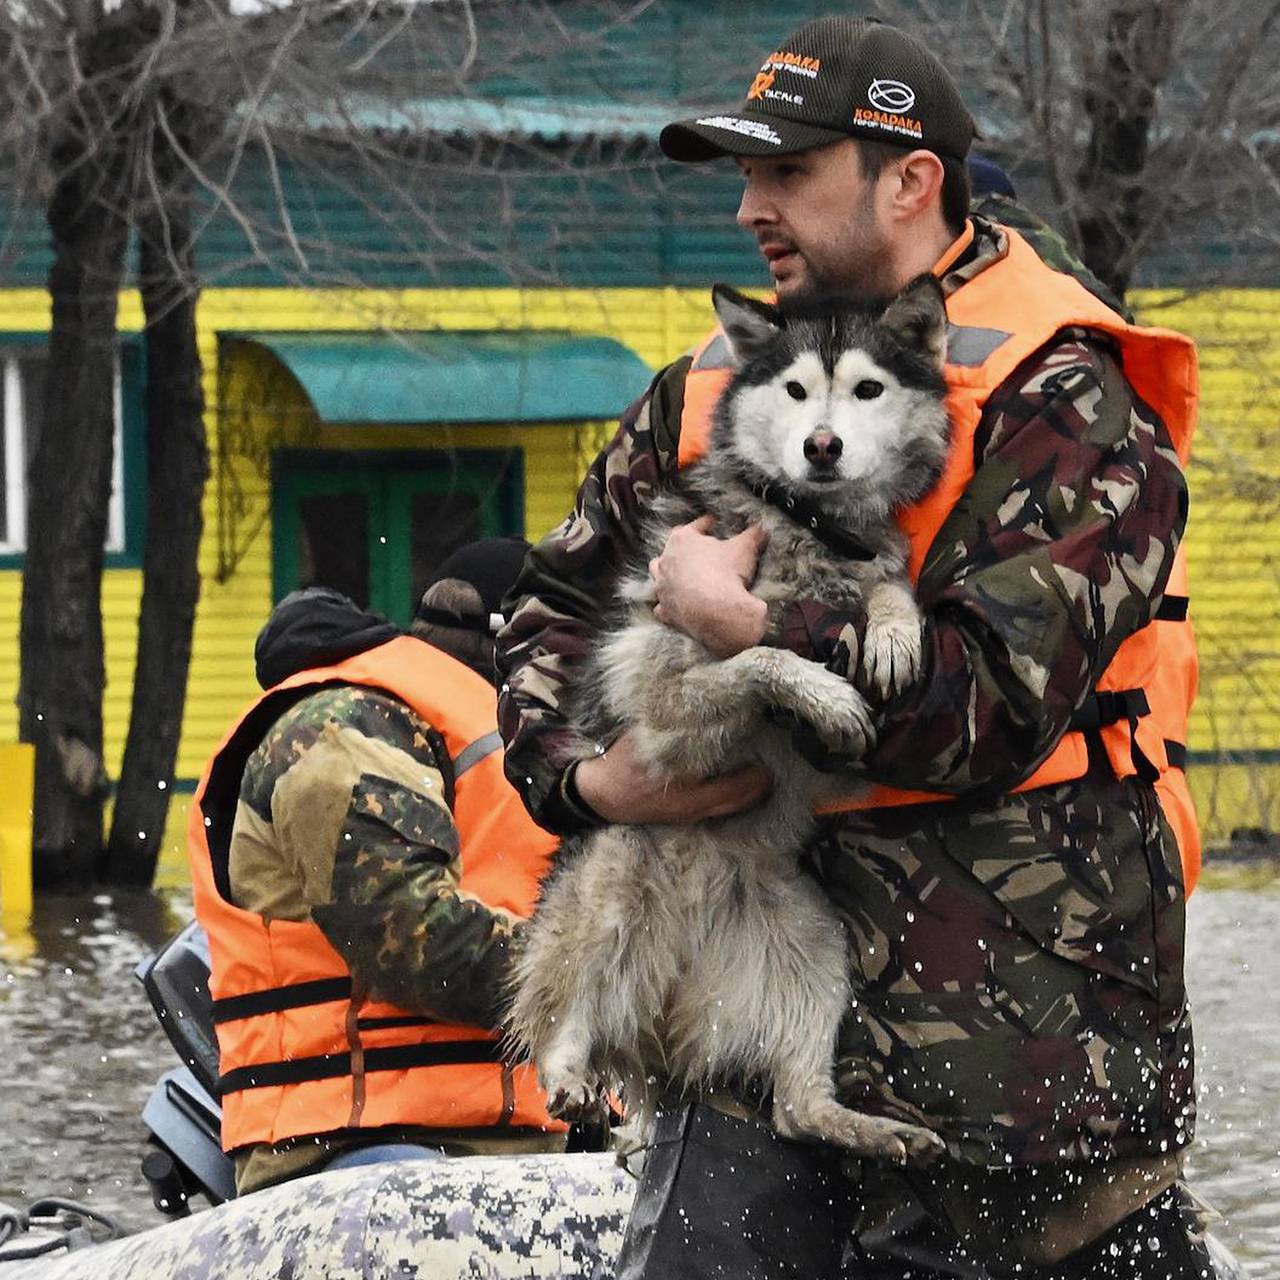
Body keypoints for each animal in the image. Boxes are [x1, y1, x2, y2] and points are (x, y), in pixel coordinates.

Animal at [504, 275, 957, 1167]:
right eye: (795, 391)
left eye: (867, 390)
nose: (822, 447)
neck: (807, 529)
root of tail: (670, 1005)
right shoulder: (662, 700)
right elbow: (760, 659)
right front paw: (826, 692)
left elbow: (887, 585)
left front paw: (891, 633)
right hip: (612, 872)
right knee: (562, 1018)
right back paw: (569, 1070)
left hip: (818, 945)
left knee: (797, 1108)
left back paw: (877, 1129)